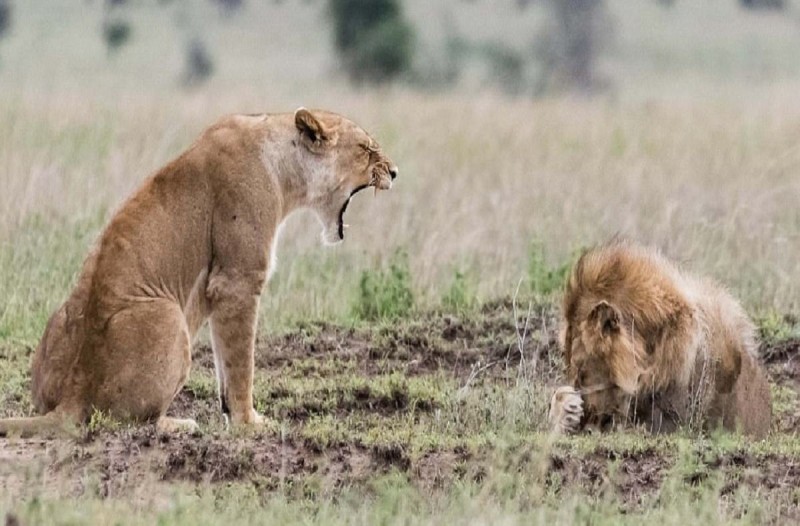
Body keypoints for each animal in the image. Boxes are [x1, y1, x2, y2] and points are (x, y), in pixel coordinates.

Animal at [0, 107, 398, 438]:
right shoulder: (238, 280)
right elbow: (241, 364)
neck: (285, 168)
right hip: (168, 315)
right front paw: (249, 423)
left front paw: (233, 415)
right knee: (123, 420)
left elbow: (226, 369)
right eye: (366, 148)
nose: (395, 172)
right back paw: (178, 424)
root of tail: (73, 392)